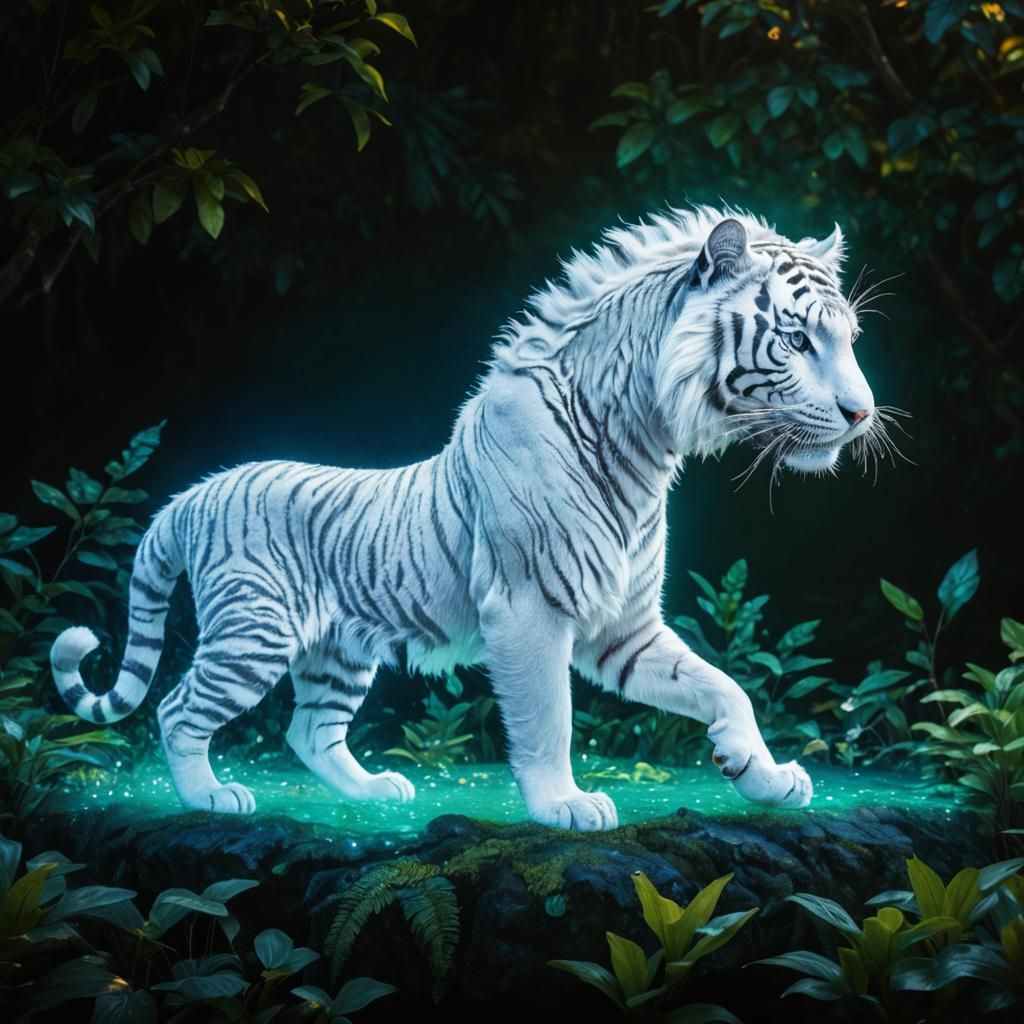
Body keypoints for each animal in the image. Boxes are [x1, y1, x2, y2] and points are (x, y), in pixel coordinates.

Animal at [51, 207, 878, 831]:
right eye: (797, 340)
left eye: (848, 340)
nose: (862, 413)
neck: (646, 443)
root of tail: (193, 494)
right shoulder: (529, 610)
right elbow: (548, 717)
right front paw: (565, 806)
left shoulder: (624, 626)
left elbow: (723, 686)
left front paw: (762, 775)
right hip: (252, 633)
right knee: (177, 709)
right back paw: (212, 797)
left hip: (338, 651)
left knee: (308, 729)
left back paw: (377, 793)